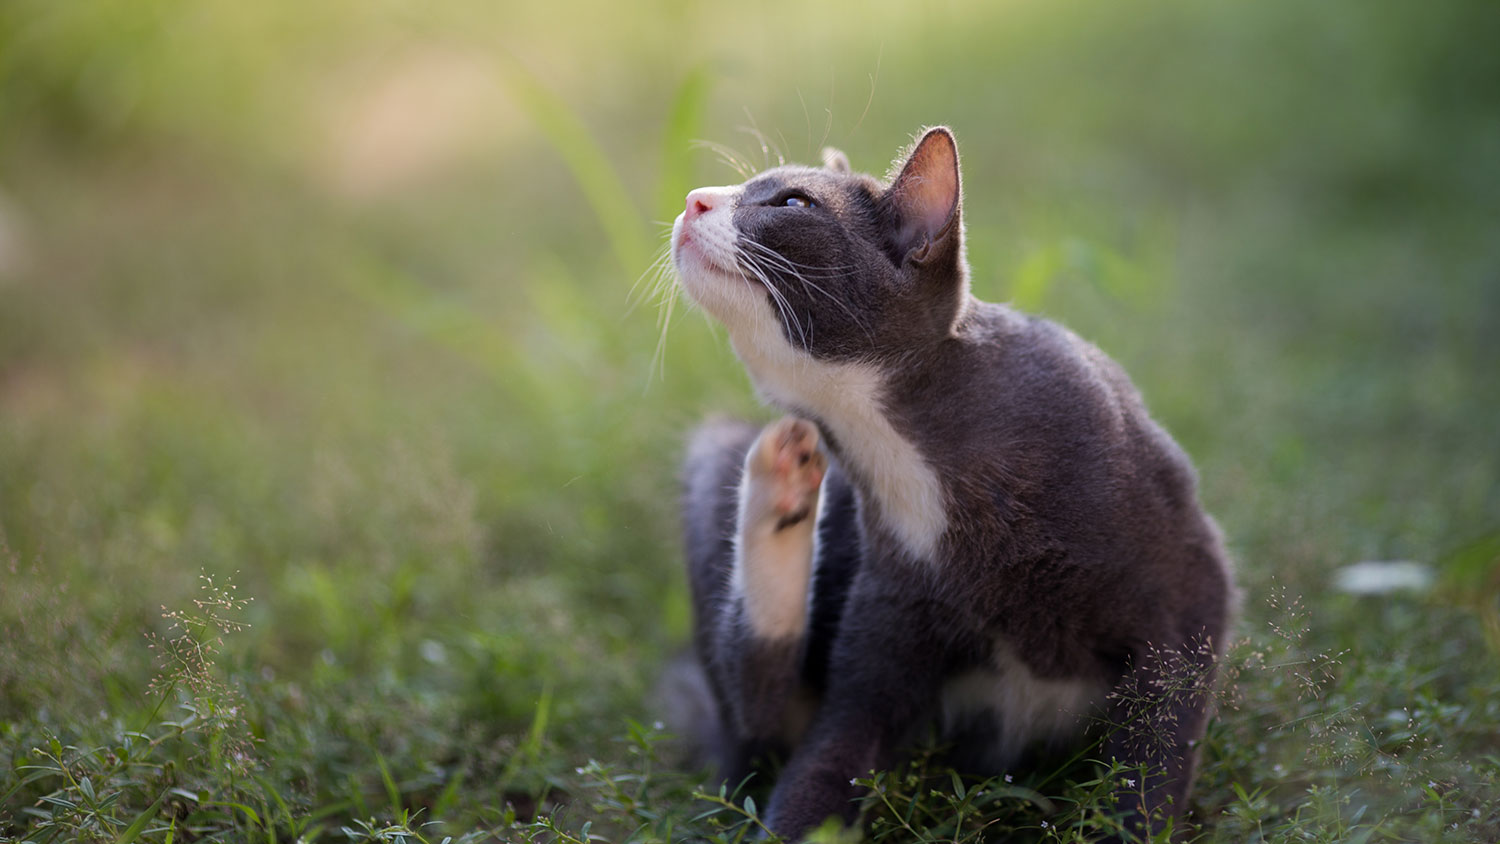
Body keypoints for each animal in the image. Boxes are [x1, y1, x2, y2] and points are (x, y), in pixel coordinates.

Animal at [675, 127, 1236, 844]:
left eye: (793, 202)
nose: (693, 200)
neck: (897, 449)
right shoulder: (890, 603)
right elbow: (823, 763)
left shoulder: (1188, 585)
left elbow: (1156, 753)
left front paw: (1133, 820)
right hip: (712, 459)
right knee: (757, 718)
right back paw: (782, 481)